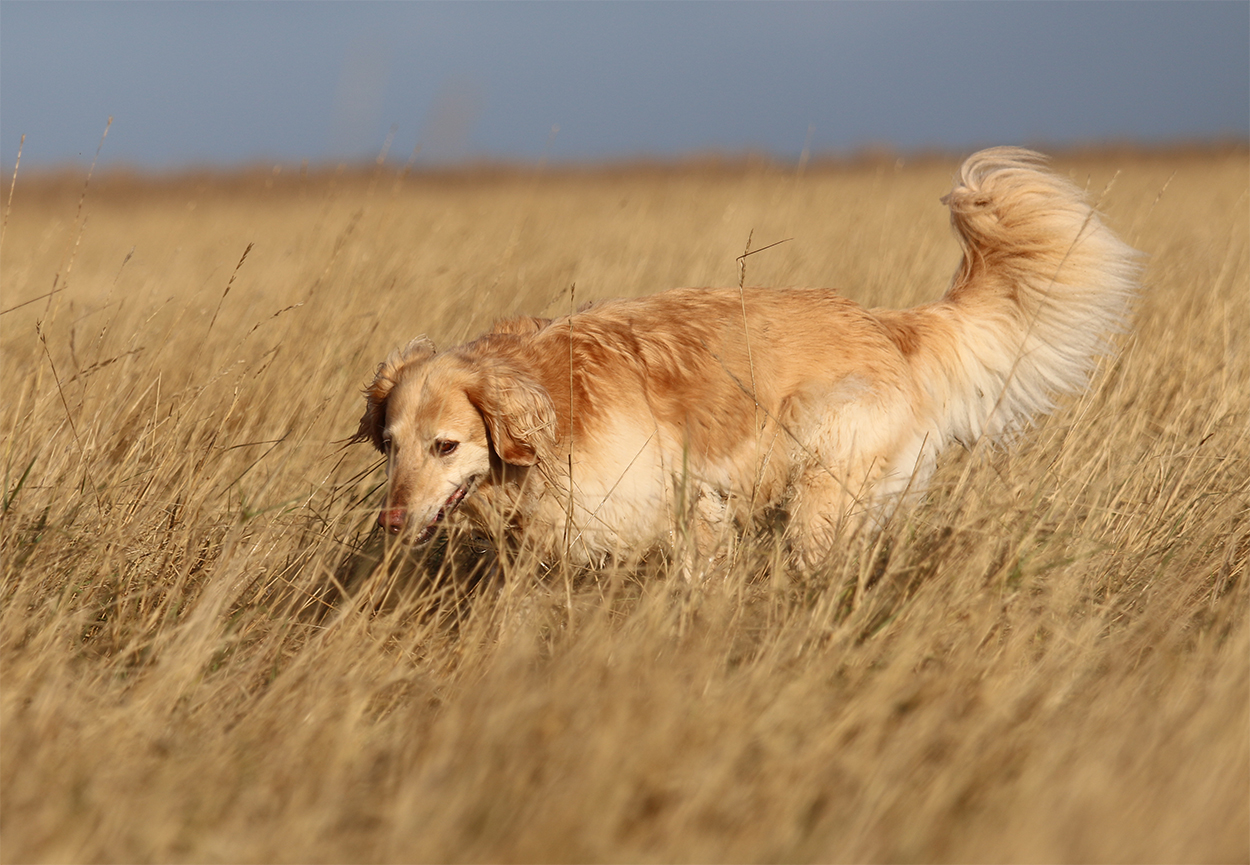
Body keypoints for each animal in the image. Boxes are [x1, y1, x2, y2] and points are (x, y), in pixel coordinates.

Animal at [352, 148, 1141, 566]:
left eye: (446, 445)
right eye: (390, 445)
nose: (391, 522)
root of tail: (886, 324)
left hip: (824, 467)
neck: (552, 412)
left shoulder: (684, 501)